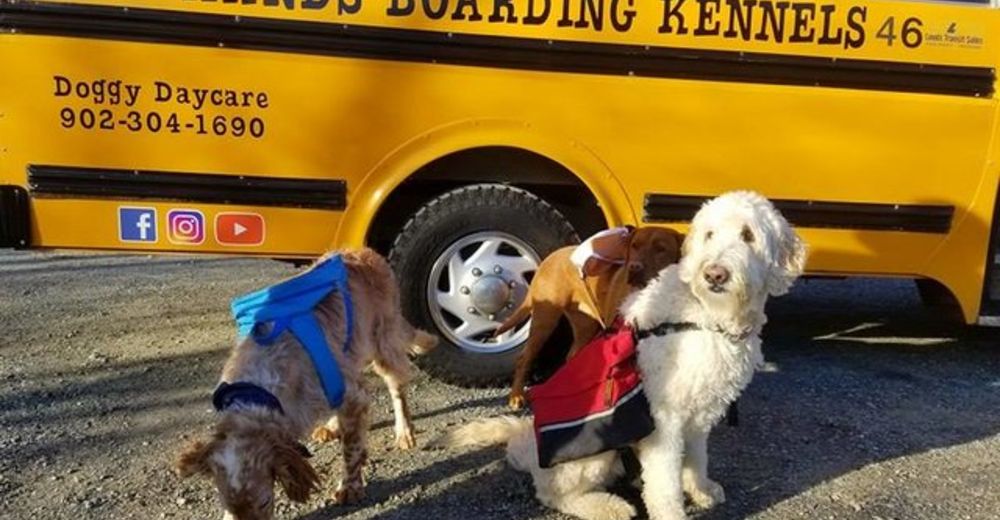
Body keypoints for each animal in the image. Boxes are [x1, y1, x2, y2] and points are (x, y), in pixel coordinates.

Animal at [175, 249, 438, 520]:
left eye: (265, 502)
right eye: (229, 508)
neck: (259, 390)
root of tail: (367, 252)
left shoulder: (354, 395)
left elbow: (352, 449)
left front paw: (350, 487)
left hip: (385, 345)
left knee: (398, 390)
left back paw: (404, 432)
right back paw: (332, 426)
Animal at [496, 225, 684, 408]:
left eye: (661, 249)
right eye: (635, 246)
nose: (634, 267)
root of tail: (550, 257)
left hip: (584, 327)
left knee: (571, 356)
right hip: (545, 318)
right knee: (523, 358)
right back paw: (516, 396)